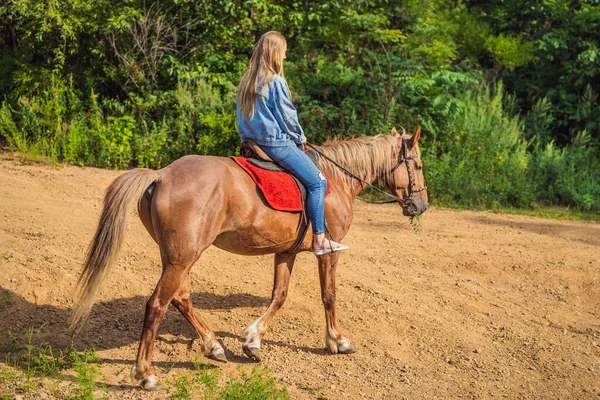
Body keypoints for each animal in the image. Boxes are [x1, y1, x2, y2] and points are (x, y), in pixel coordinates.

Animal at [69, 126, 426, 390]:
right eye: (418, 165)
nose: (421, 206)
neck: (335, 180)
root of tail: (162, 175)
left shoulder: (285, 252)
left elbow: (279, 296)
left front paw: (253, 341)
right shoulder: (328, 253)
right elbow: (329, 295)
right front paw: (337, 341)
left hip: (176, 258)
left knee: (180, 298)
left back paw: (212, 345)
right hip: (182, 259)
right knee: (157, 305)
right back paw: (145, 374)